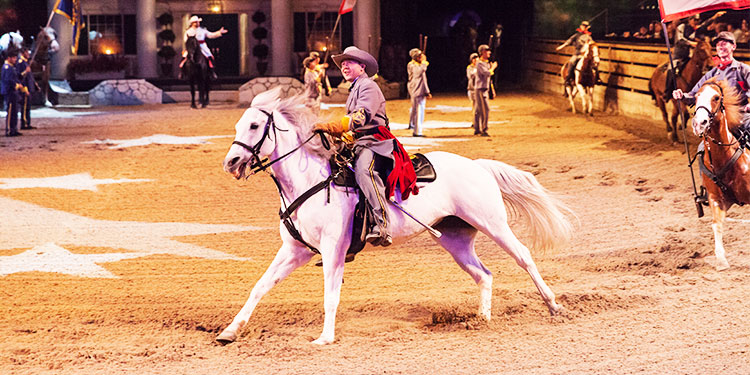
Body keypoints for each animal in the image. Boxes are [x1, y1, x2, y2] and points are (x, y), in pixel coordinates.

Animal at [217, 88, 576, 346]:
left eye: (254, 126)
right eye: (237, 125)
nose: (231, 162)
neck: (310, 183)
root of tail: (478, 166)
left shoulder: (333, 249)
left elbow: (330, 295)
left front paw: (325, 338)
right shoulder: (295, 250)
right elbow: (260, 286)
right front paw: (230, 331)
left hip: (493, 224)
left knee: (523, 257)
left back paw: (554, 305)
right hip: (456, 239)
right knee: (483, 275)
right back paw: (481, 319)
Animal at [692, 79, 750, 272]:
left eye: (716, 97)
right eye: (696, 96)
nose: (699, 123)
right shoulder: (716, 198)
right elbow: (716, 224)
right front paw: (721, 260)